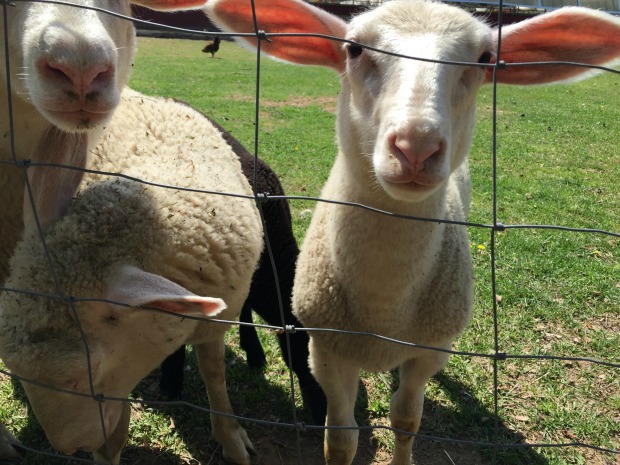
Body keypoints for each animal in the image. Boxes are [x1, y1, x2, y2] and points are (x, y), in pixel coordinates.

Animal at [0, 87, 264, 464]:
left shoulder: (216, 323)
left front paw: (231, 437)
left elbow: (214, 372)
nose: (72, 448)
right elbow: (117, 429)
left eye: (84, 375)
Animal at [205, 1, 620, 462]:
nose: (417, 147)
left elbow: (406, 421)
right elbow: (340, 438)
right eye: (353, 49)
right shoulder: (327, 350)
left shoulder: (428, 352)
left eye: (484, 59)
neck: (383, 304)